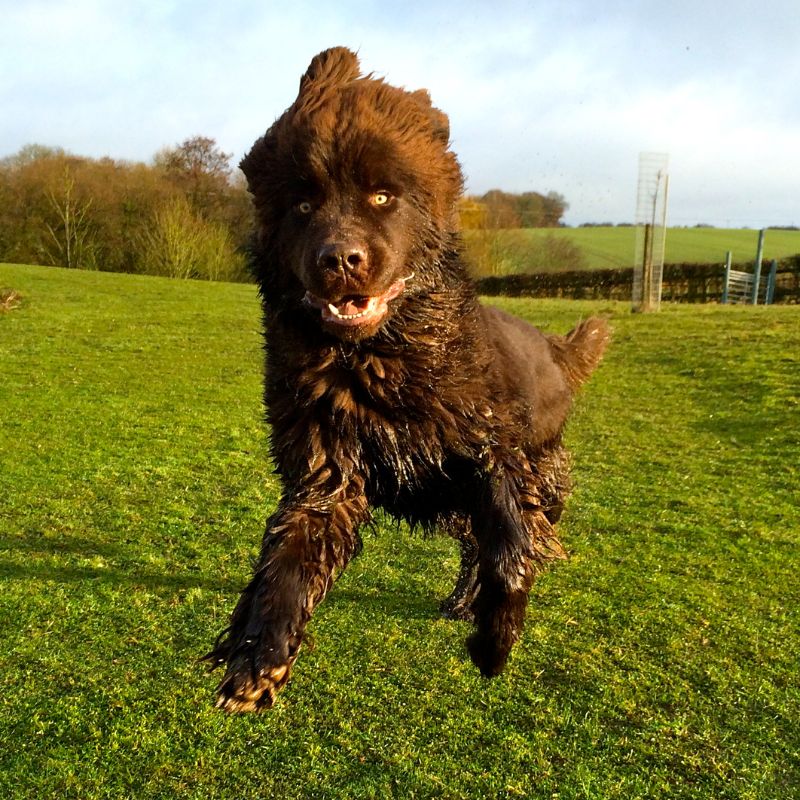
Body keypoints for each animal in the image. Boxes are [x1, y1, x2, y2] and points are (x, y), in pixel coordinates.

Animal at [205, 47, 608, 712]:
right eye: (303, 204)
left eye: (382, 196)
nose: (341, 260)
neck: (379, 365)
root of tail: (555, 348)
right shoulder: (326, 476)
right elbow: (288, 564)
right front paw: (259, 656)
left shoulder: (494, 454)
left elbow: (510, 550)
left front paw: (496, 640)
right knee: (471, 542)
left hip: (533, 474)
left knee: (521, 532)